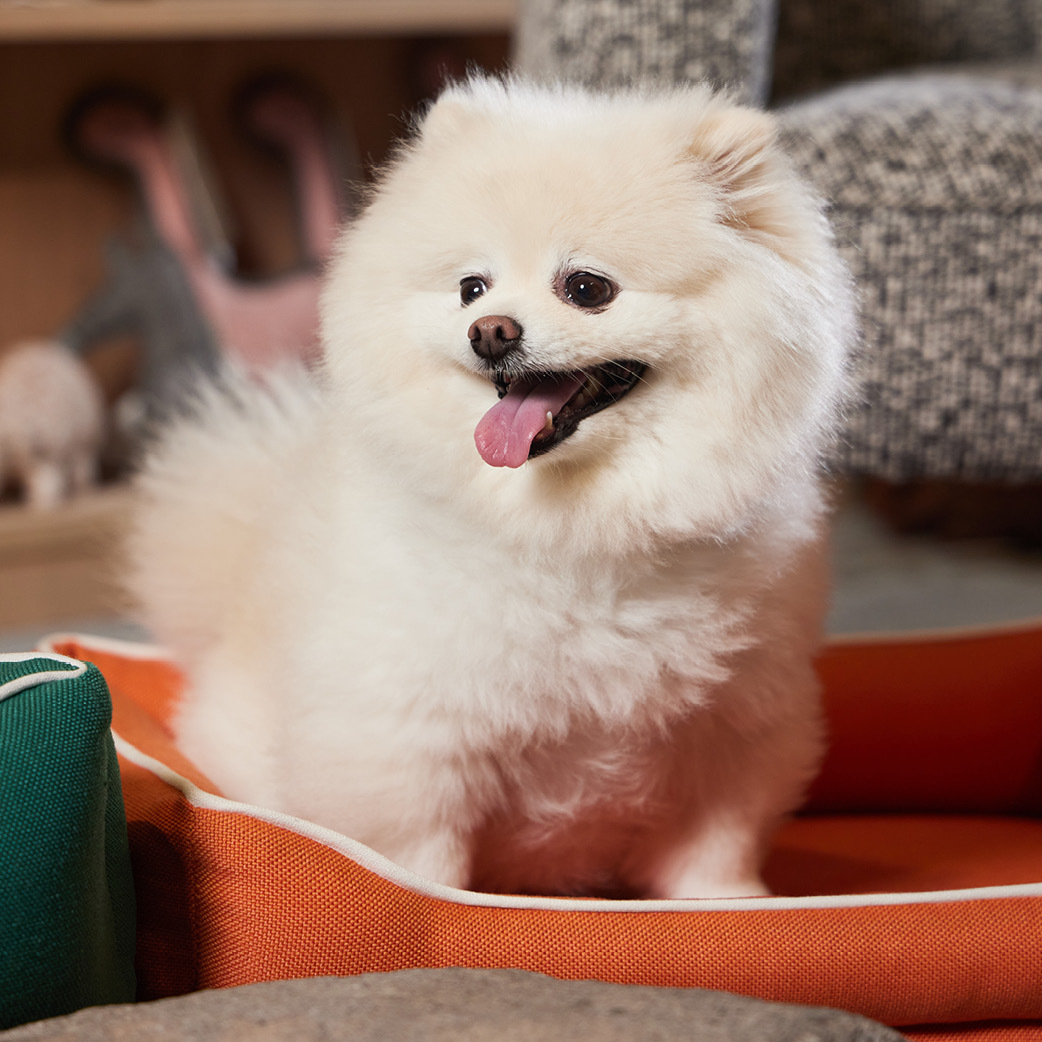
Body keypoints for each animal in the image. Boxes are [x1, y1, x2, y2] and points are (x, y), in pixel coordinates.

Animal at [126, 77, 855, 899]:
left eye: (586, 287)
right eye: (471, 287)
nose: (491, 330)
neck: (575, 527)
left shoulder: (735, 728)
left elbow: (716, 847)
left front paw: (729, 906)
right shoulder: (412, 741)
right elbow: (421, 865)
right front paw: (440, 907)